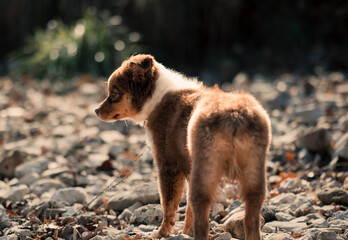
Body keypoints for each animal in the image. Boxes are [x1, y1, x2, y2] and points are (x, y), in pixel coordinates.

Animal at [95, 54, 272, 240]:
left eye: (114, 93)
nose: (96, 110)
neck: (157, 96)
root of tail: (234, 115)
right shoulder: (188, 167)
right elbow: (187, 209)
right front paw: (186, 232)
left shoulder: (168, 164)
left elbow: (169, 204)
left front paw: (162, 233)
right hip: (254, 172)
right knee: (251, 219)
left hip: (205, 171)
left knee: (202, 217)